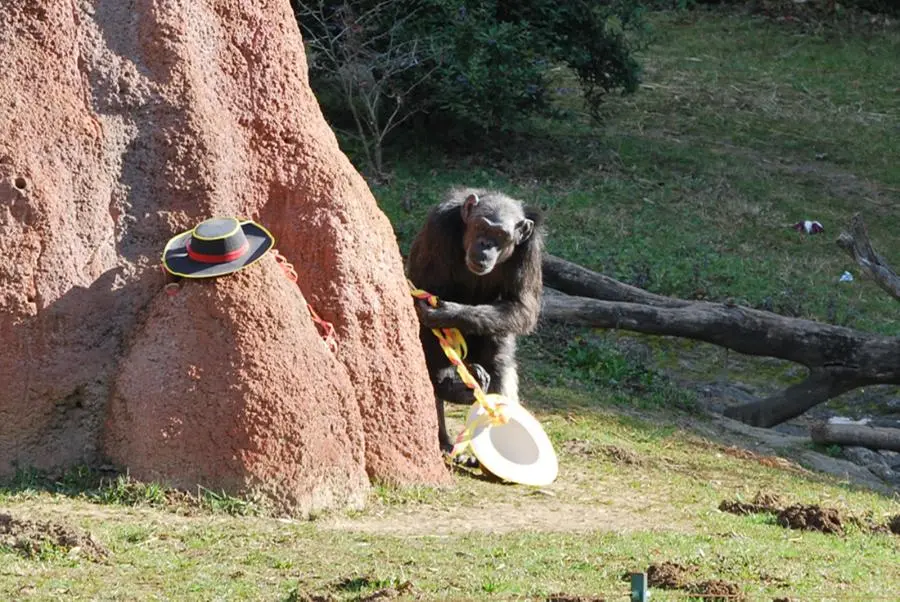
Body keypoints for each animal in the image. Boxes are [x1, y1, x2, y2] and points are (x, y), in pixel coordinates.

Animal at [406, 186, 540, 450]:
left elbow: (522, 306)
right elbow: (423, 291)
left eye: (500, 235)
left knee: (498, 357)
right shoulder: (438, 227)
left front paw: (448, 314)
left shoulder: (530, 249)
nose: (485, 245)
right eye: (481, 226)